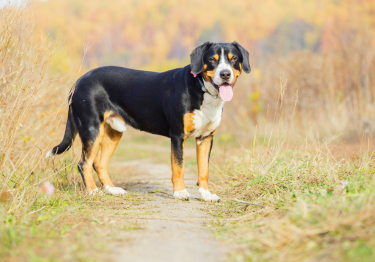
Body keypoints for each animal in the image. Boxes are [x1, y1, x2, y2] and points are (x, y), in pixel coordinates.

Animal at [47, 41, 253, 202]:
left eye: (233, 59)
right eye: (212, 60)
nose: (225, 74)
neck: (203, 90)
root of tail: (79, 80)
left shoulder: (206, 138)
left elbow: (204, 170)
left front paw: (206, 194)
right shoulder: (177, 135)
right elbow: (178, 167)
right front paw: (180, 192)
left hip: (114, 132)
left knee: (99, 163)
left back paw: (112, 189)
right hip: (91, 128)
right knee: (84, 163)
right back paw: (93, 191)